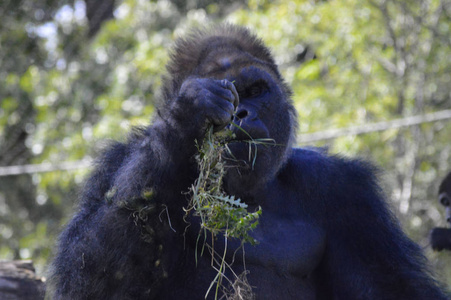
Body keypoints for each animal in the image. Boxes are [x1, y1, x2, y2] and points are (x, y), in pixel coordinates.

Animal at [49, 25, 448, 300]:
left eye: (256, 91)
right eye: (232, 92)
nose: (241, 113)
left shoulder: (345, 191)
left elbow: (391, 287)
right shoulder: (117, 161)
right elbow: (95, 279)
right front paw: (188, 114)